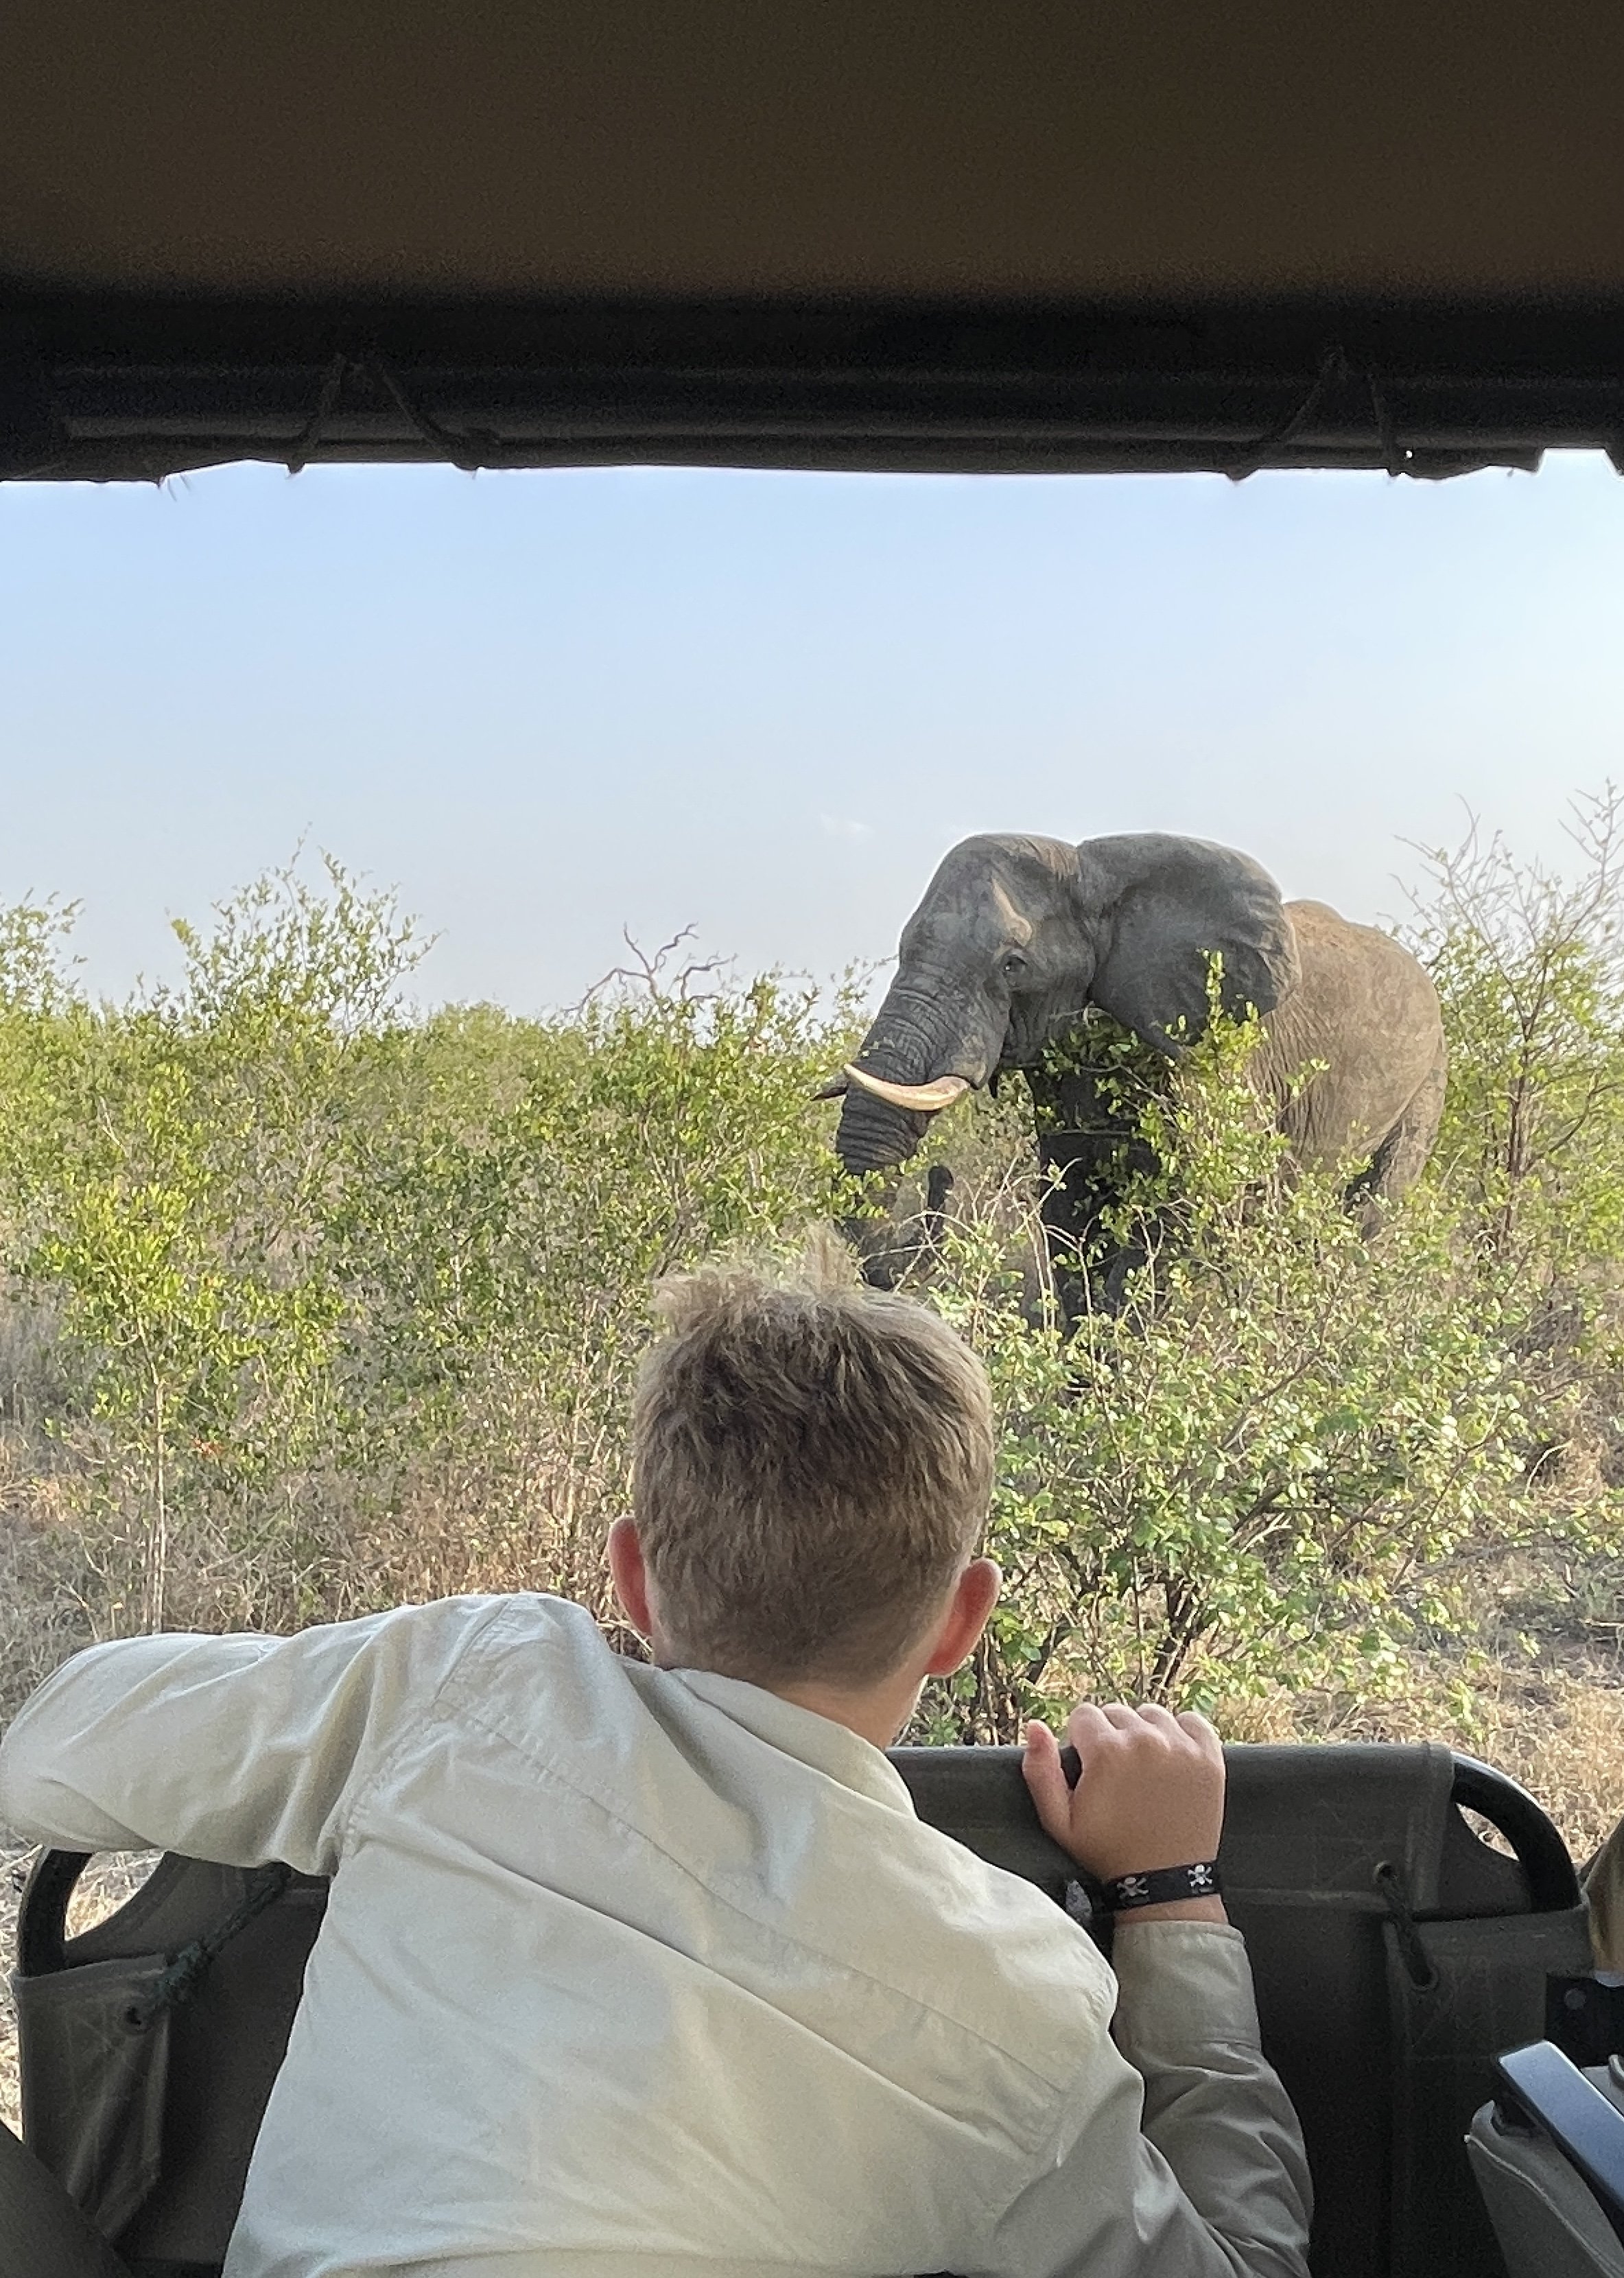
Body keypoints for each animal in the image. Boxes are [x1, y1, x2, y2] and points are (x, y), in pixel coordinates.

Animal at [824, 838, 1448, 1312]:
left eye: (1012, 965)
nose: (941, 1176)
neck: (1092, 875)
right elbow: (1070, 1214)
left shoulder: (1210, 1061)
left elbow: (1183, 1216)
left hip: (1427, 1082)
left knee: (1371, 1212)